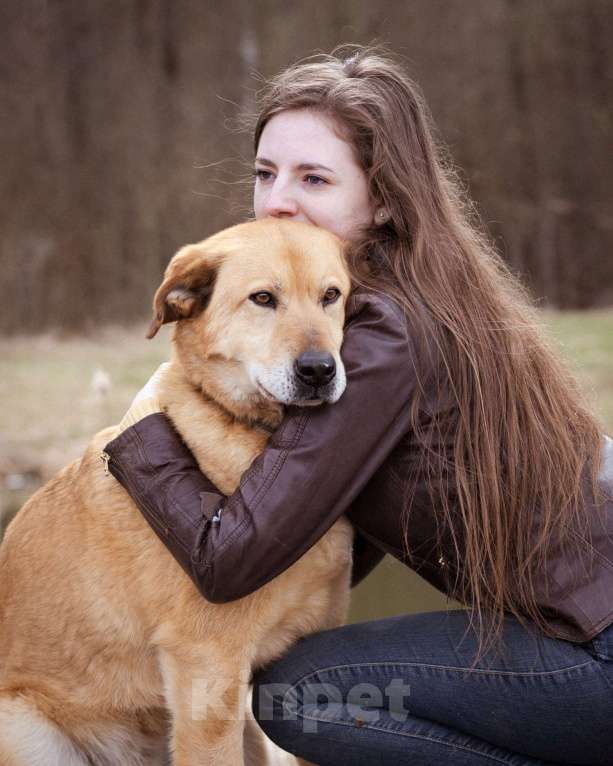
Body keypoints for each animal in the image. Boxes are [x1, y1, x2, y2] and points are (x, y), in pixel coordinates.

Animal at [0, 219, 354, 764]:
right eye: (263, 298)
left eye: (331, 296)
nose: (318, 370)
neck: (252, 436)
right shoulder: (207, 676)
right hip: (27, 731)